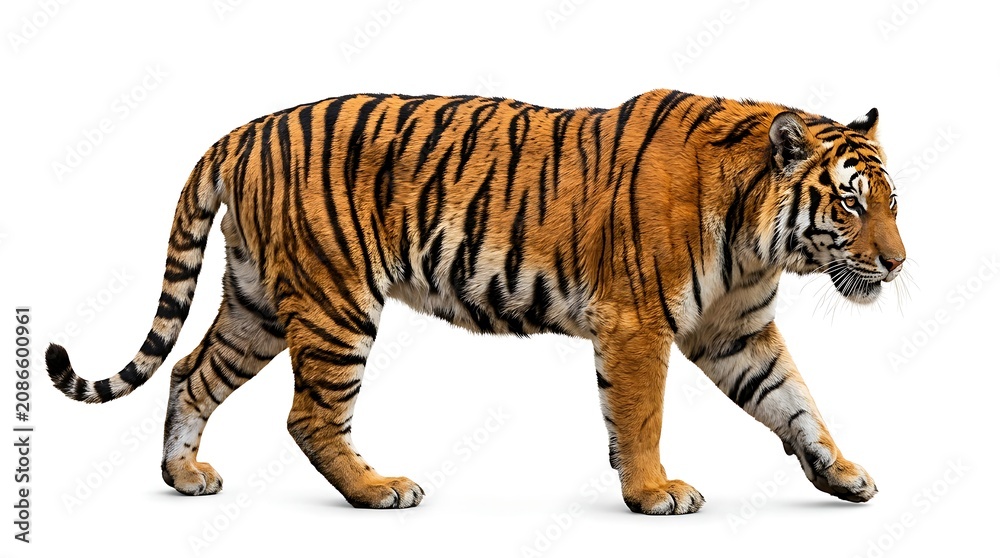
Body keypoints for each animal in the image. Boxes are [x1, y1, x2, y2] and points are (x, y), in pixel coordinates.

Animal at [46, 88, 905, 515]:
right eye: (852, 204)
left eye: (894, 203)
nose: (898, 265)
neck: (760, 241)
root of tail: (245, 131)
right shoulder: (637, 322)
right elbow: (641, 416)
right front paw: (653, 493)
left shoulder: (738, 332)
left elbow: (796, 404)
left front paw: (842, 475)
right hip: (336, 303)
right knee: (309, 415)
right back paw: (379, 491)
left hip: (256, 304)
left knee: (190, 374)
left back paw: (183, 476)